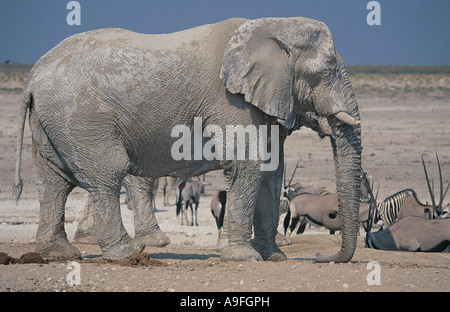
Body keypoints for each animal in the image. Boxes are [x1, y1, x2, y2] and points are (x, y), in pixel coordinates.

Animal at [13, 16, 362, 260]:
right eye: (326, 71)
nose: (322, 256)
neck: (274, 26)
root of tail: (32, 76)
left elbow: (271, 170)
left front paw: (275, 257)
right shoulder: (232, 102)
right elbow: (247, 165)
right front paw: (244, 258)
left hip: (52, 122)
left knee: (53, 183)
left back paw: (59, 254)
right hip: (82, 121)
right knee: (106, 177)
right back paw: (128, 255)